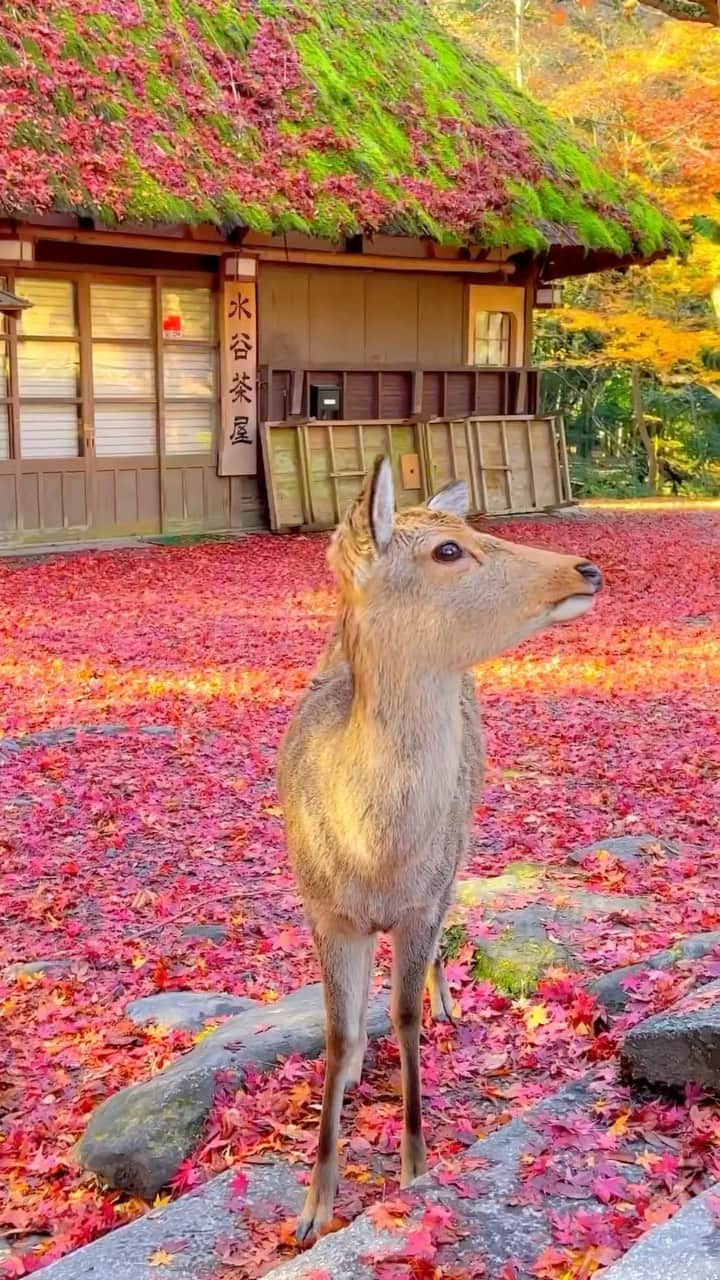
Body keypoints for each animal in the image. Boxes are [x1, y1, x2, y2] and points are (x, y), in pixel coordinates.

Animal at [275, 453, 599, 1239]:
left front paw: (414, 1168)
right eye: (449, 550)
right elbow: (337, 1035)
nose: (585, 567)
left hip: (467, 828)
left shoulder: (421, 902)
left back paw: (449, 1001)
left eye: (477, 530)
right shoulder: (322, 911)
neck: (372, 858)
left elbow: (404, 1017)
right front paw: (312, 1209)